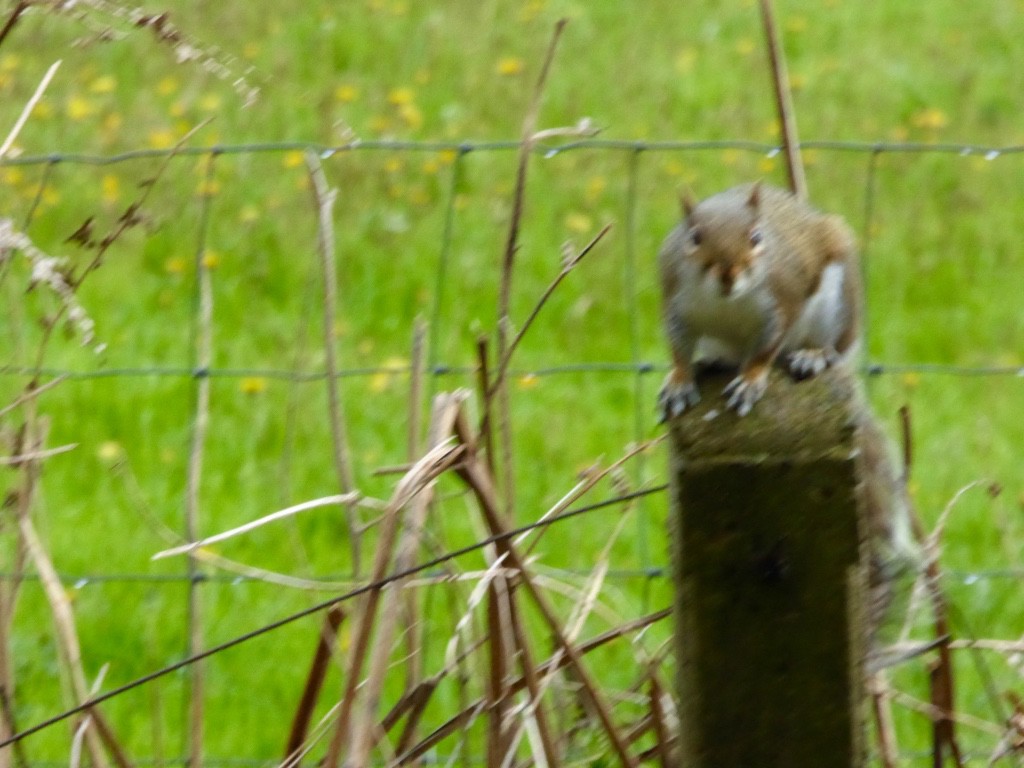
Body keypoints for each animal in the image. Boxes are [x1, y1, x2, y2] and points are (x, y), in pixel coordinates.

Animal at [655, 182, 864, 421]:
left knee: (832, 346)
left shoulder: (783, 300)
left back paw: (813, 355)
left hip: (833, 307)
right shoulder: (674, 302)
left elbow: (765, 349)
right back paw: (710, 362)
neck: (724, 301)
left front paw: (750, 380)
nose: (728, 276)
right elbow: (678, 349)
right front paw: (679, 381)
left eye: (756, 238)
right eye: (694, 237)